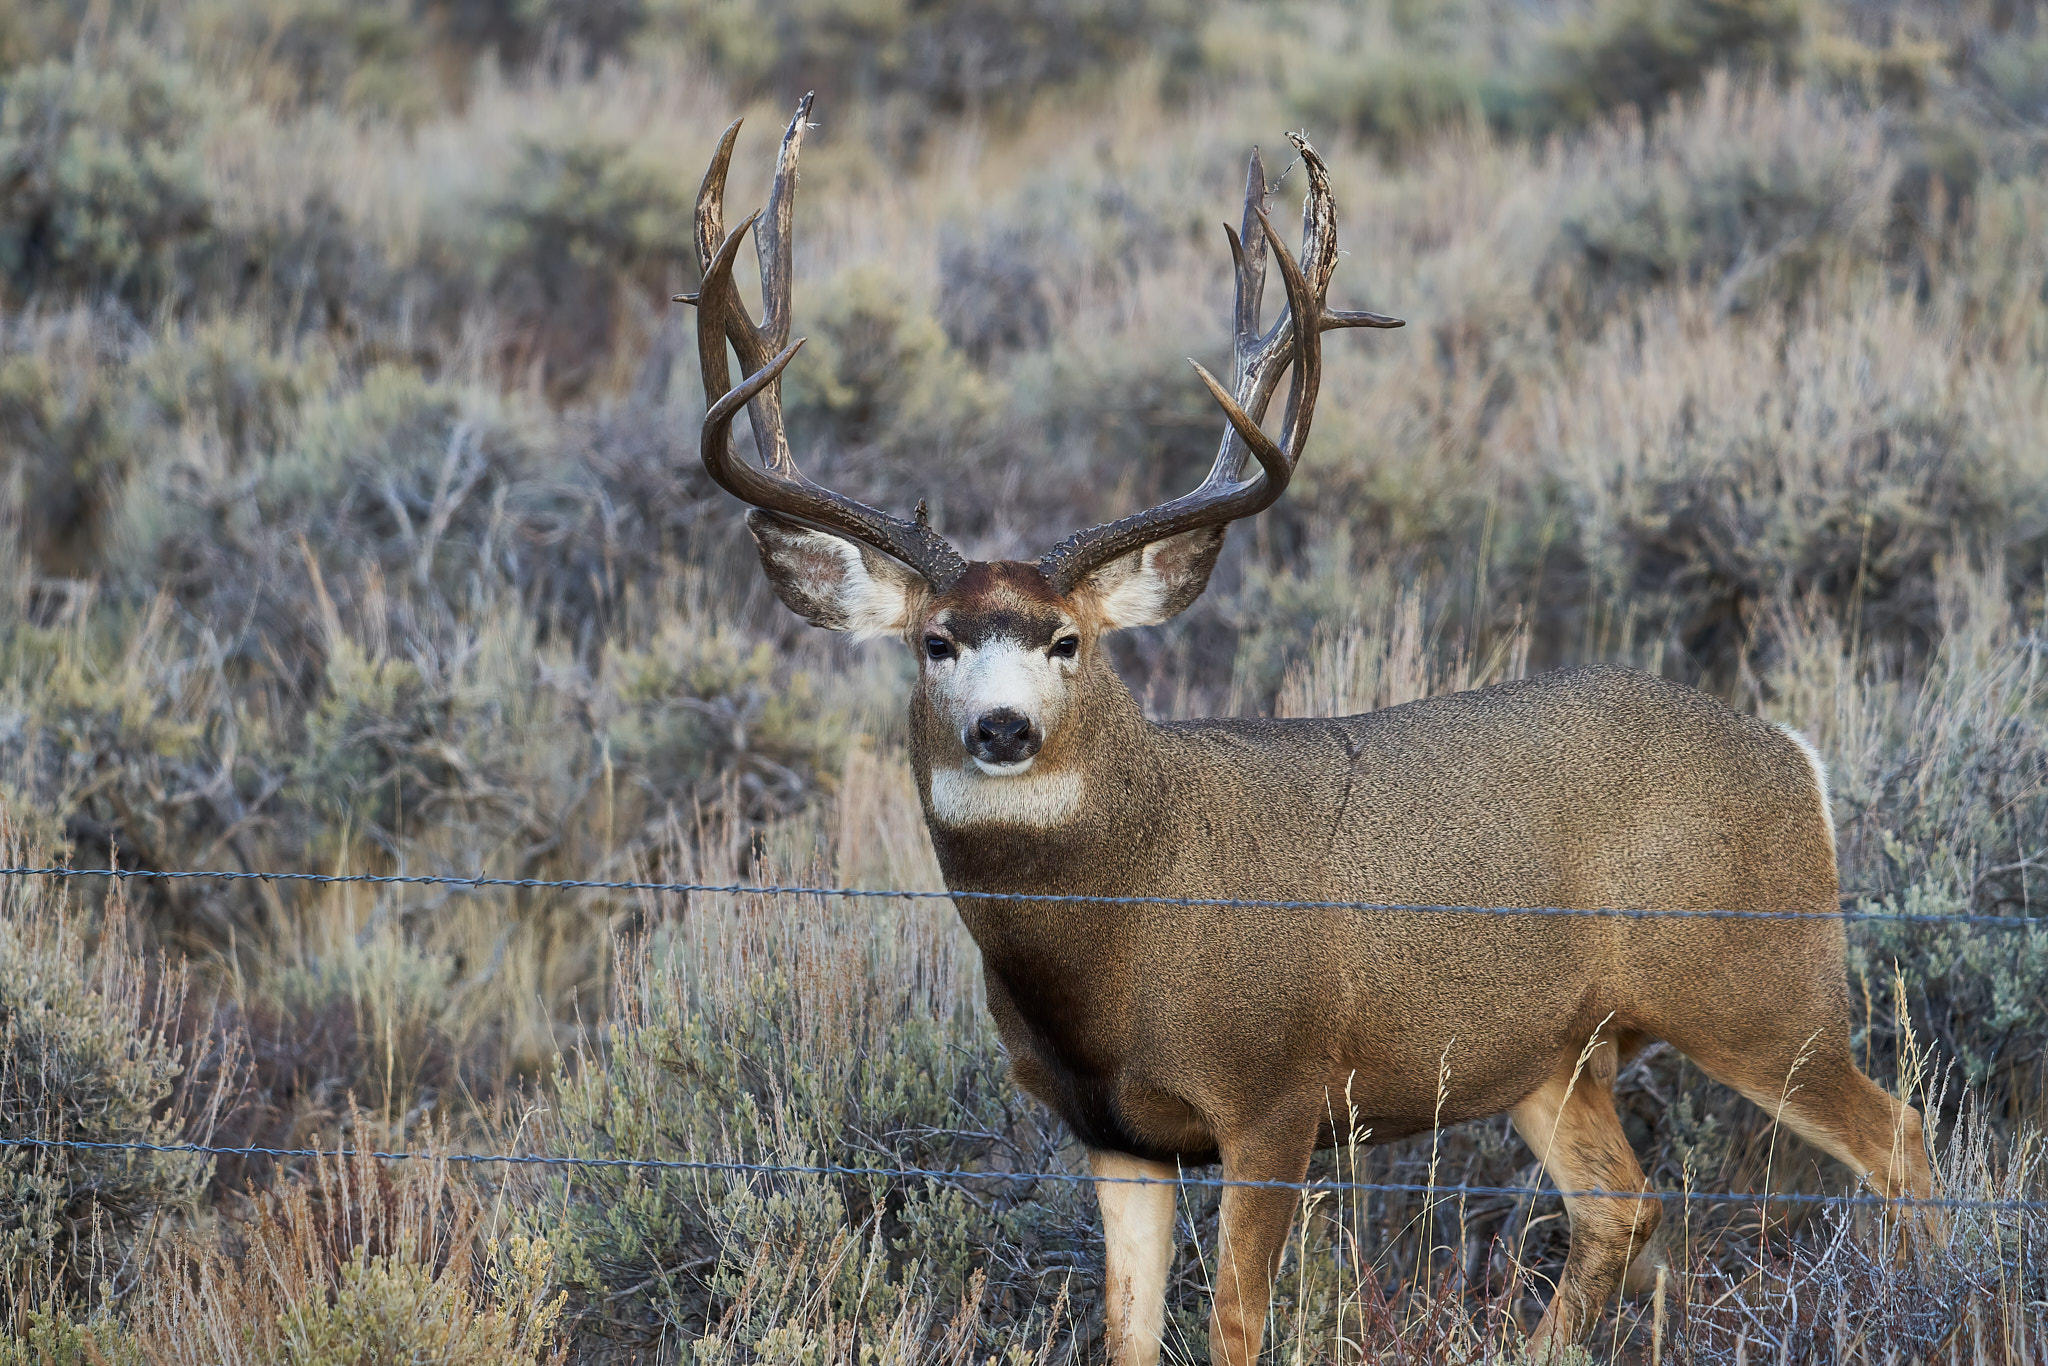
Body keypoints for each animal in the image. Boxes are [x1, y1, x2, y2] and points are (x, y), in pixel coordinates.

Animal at [680, 96, 1935, 1364]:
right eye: (935, 642)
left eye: (1066, 641)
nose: (999, 727)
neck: (1119, 935)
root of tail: (1793, 757)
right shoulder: (1113, 1131)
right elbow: (1126, 1329)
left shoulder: (1274, 1090)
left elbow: (1235, 1320)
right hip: (1551, 1053)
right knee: (1619, 1205)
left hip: (1756, 984)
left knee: (1897, 1136)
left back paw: (1930, 1305)